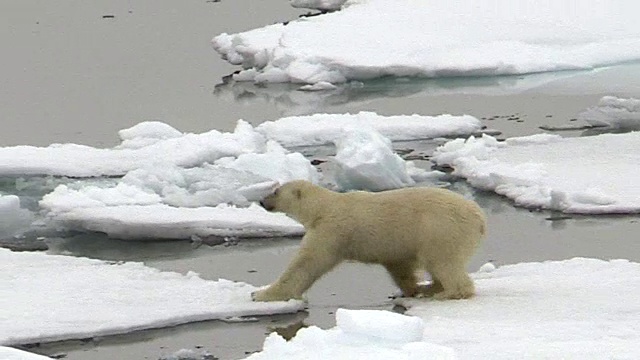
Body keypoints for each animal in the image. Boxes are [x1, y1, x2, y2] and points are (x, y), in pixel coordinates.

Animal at [252, 180, 488, 300]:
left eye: (275, 191)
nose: (262, 201)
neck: (323, 207)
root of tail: (480, 218)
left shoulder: (331, 231)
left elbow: (306, 264)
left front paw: (260, 294)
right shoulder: (393, 246)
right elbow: (399, 266)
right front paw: (411, 289)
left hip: (440, 229)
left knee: (442, 261)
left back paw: (447, 292)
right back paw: (432, 288)